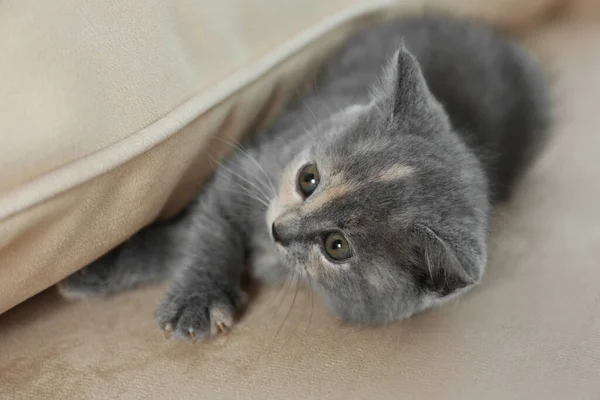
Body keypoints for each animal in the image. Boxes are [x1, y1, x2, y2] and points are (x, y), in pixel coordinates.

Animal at [58, 14, 552, 340]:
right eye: (308, 178)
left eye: (337, 247)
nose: (279, 229)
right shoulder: (246, 172)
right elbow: (203, 235)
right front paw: (188, 292)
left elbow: (189, 238)